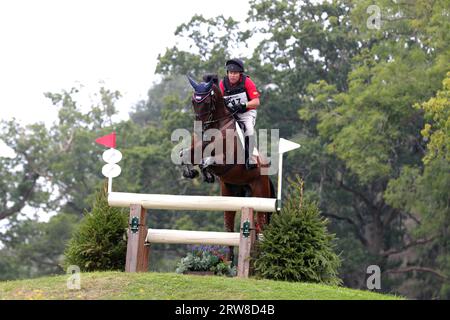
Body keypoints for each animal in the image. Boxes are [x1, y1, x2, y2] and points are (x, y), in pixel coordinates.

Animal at [179, 75, 274, 262]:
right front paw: (191, 172)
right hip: (230, 192)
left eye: (207, 102)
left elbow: (206, 161)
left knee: (261, 226)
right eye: (193, 101)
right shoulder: (196, 149)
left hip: (260, 192)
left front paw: (205, 173)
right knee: (229, 228)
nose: (199, 129)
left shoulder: (226, 162)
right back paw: (229, 261)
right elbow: (185, 154)